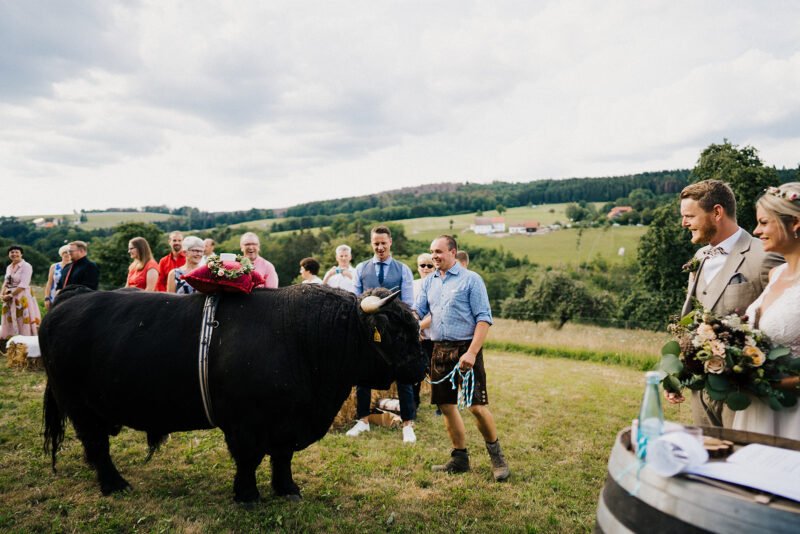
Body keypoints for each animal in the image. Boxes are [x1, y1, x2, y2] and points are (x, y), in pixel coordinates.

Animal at [39, 284, 424, 502]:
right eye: (395, 333)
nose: (422, 368)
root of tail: (69, 299)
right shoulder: (245, 424)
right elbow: (249, 459)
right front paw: (247, 494)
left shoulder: (287, 423)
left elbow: (282, 458)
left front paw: (286, 489)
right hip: (80, 407)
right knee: (97, 446)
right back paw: (114, 484)